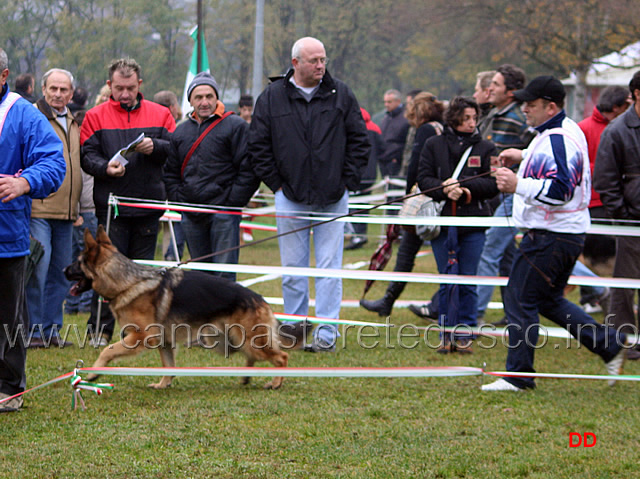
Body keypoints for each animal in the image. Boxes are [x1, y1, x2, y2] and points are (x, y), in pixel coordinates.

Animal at [63, 228, 308, 390]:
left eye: (77, 263)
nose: (64, 270)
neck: (127, 282)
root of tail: (260, 299)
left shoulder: (141, 337)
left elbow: (107, 350)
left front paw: (94, 373)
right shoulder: (164, 341)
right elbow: (168, 365)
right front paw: (163, 384)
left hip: (247, 340)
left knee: (282, 357)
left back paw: (275, 382)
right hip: (234, 340)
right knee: (259, 357)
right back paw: (248, 377)